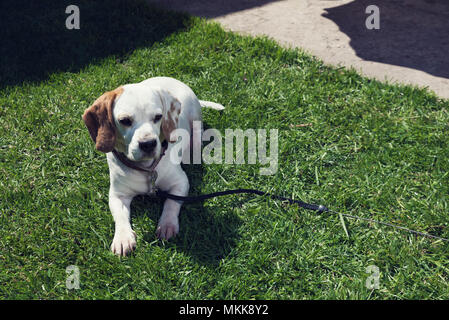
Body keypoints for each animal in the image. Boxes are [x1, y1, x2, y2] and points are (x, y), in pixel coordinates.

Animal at [82, 76, 224, 256]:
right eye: (124, 121)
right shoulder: (117, 195)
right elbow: (119, 216)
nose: (148, 144)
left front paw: (167, 224)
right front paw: (123, 237)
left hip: (195, 117)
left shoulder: (180, 183)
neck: (146, 169)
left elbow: (171, 203)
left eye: (158, 117)